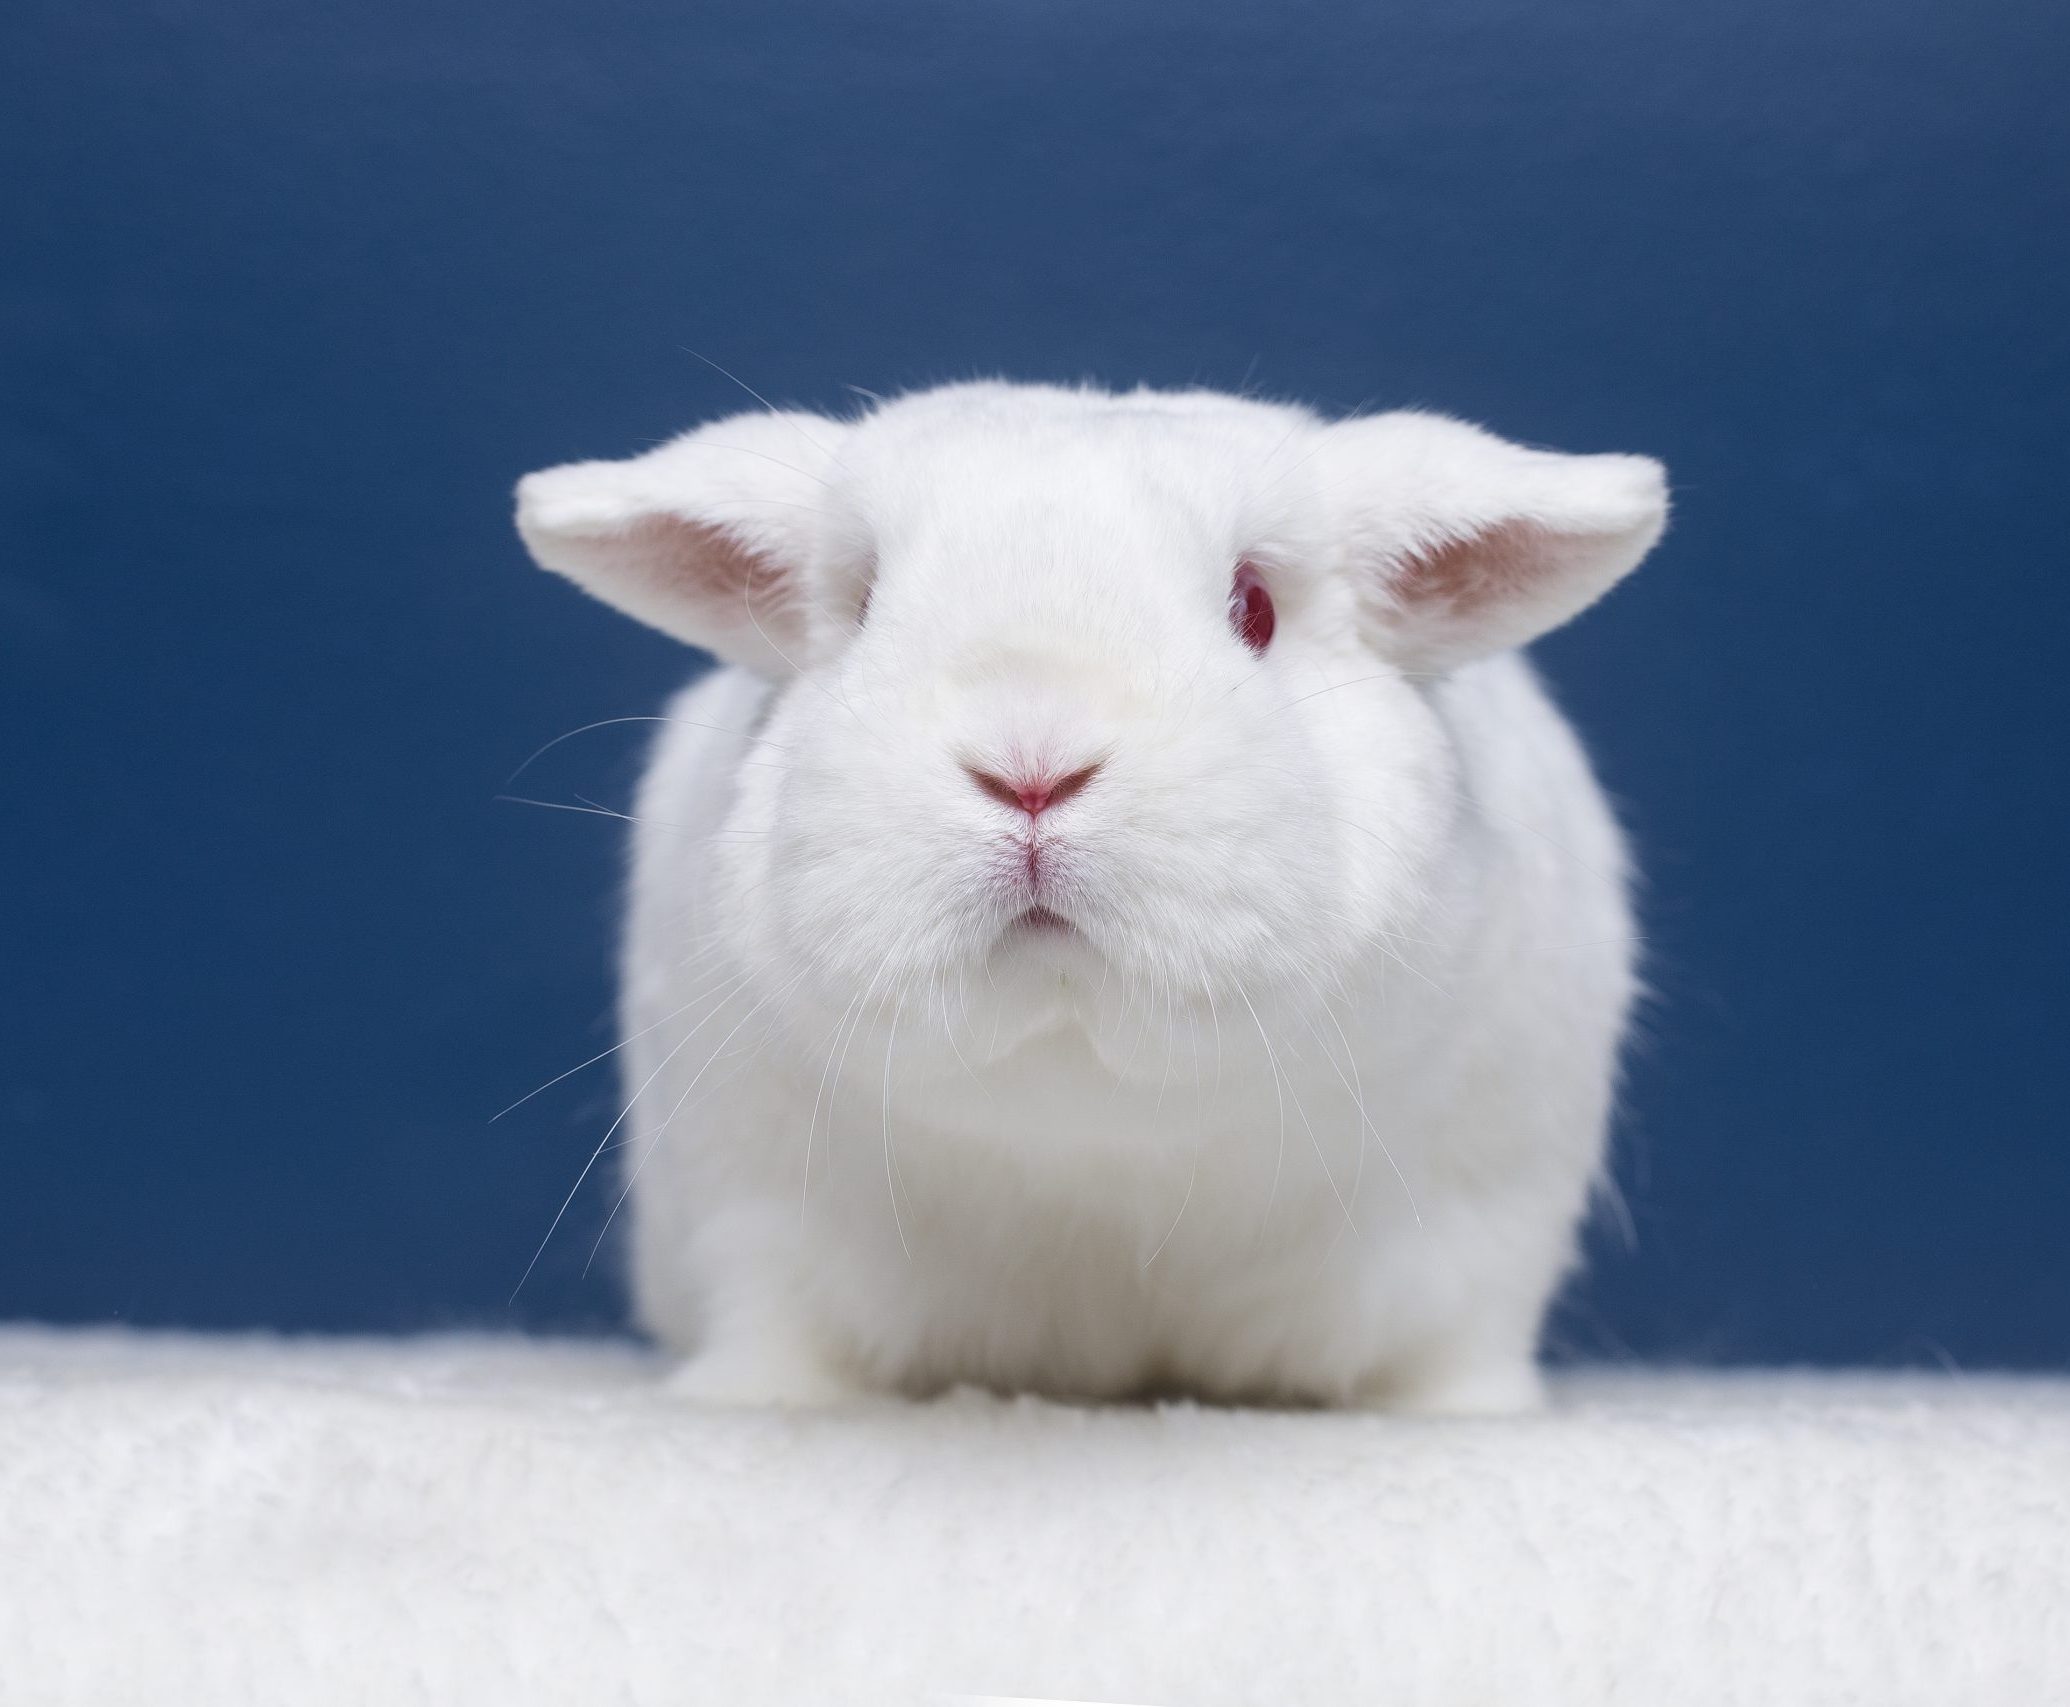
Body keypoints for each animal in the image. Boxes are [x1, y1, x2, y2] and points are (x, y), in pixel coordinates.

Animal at [514, 380, 1666, 1412]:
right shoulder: (750, 1213)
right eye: (865, 603)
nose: (1032, 764)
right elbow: (775, 1327)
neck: (1089, 1134)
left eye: (1256, 607)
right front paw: (753, 1400)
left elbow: (1450, 1356)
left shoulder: (1484, 1226)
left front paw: (1466, 1416)